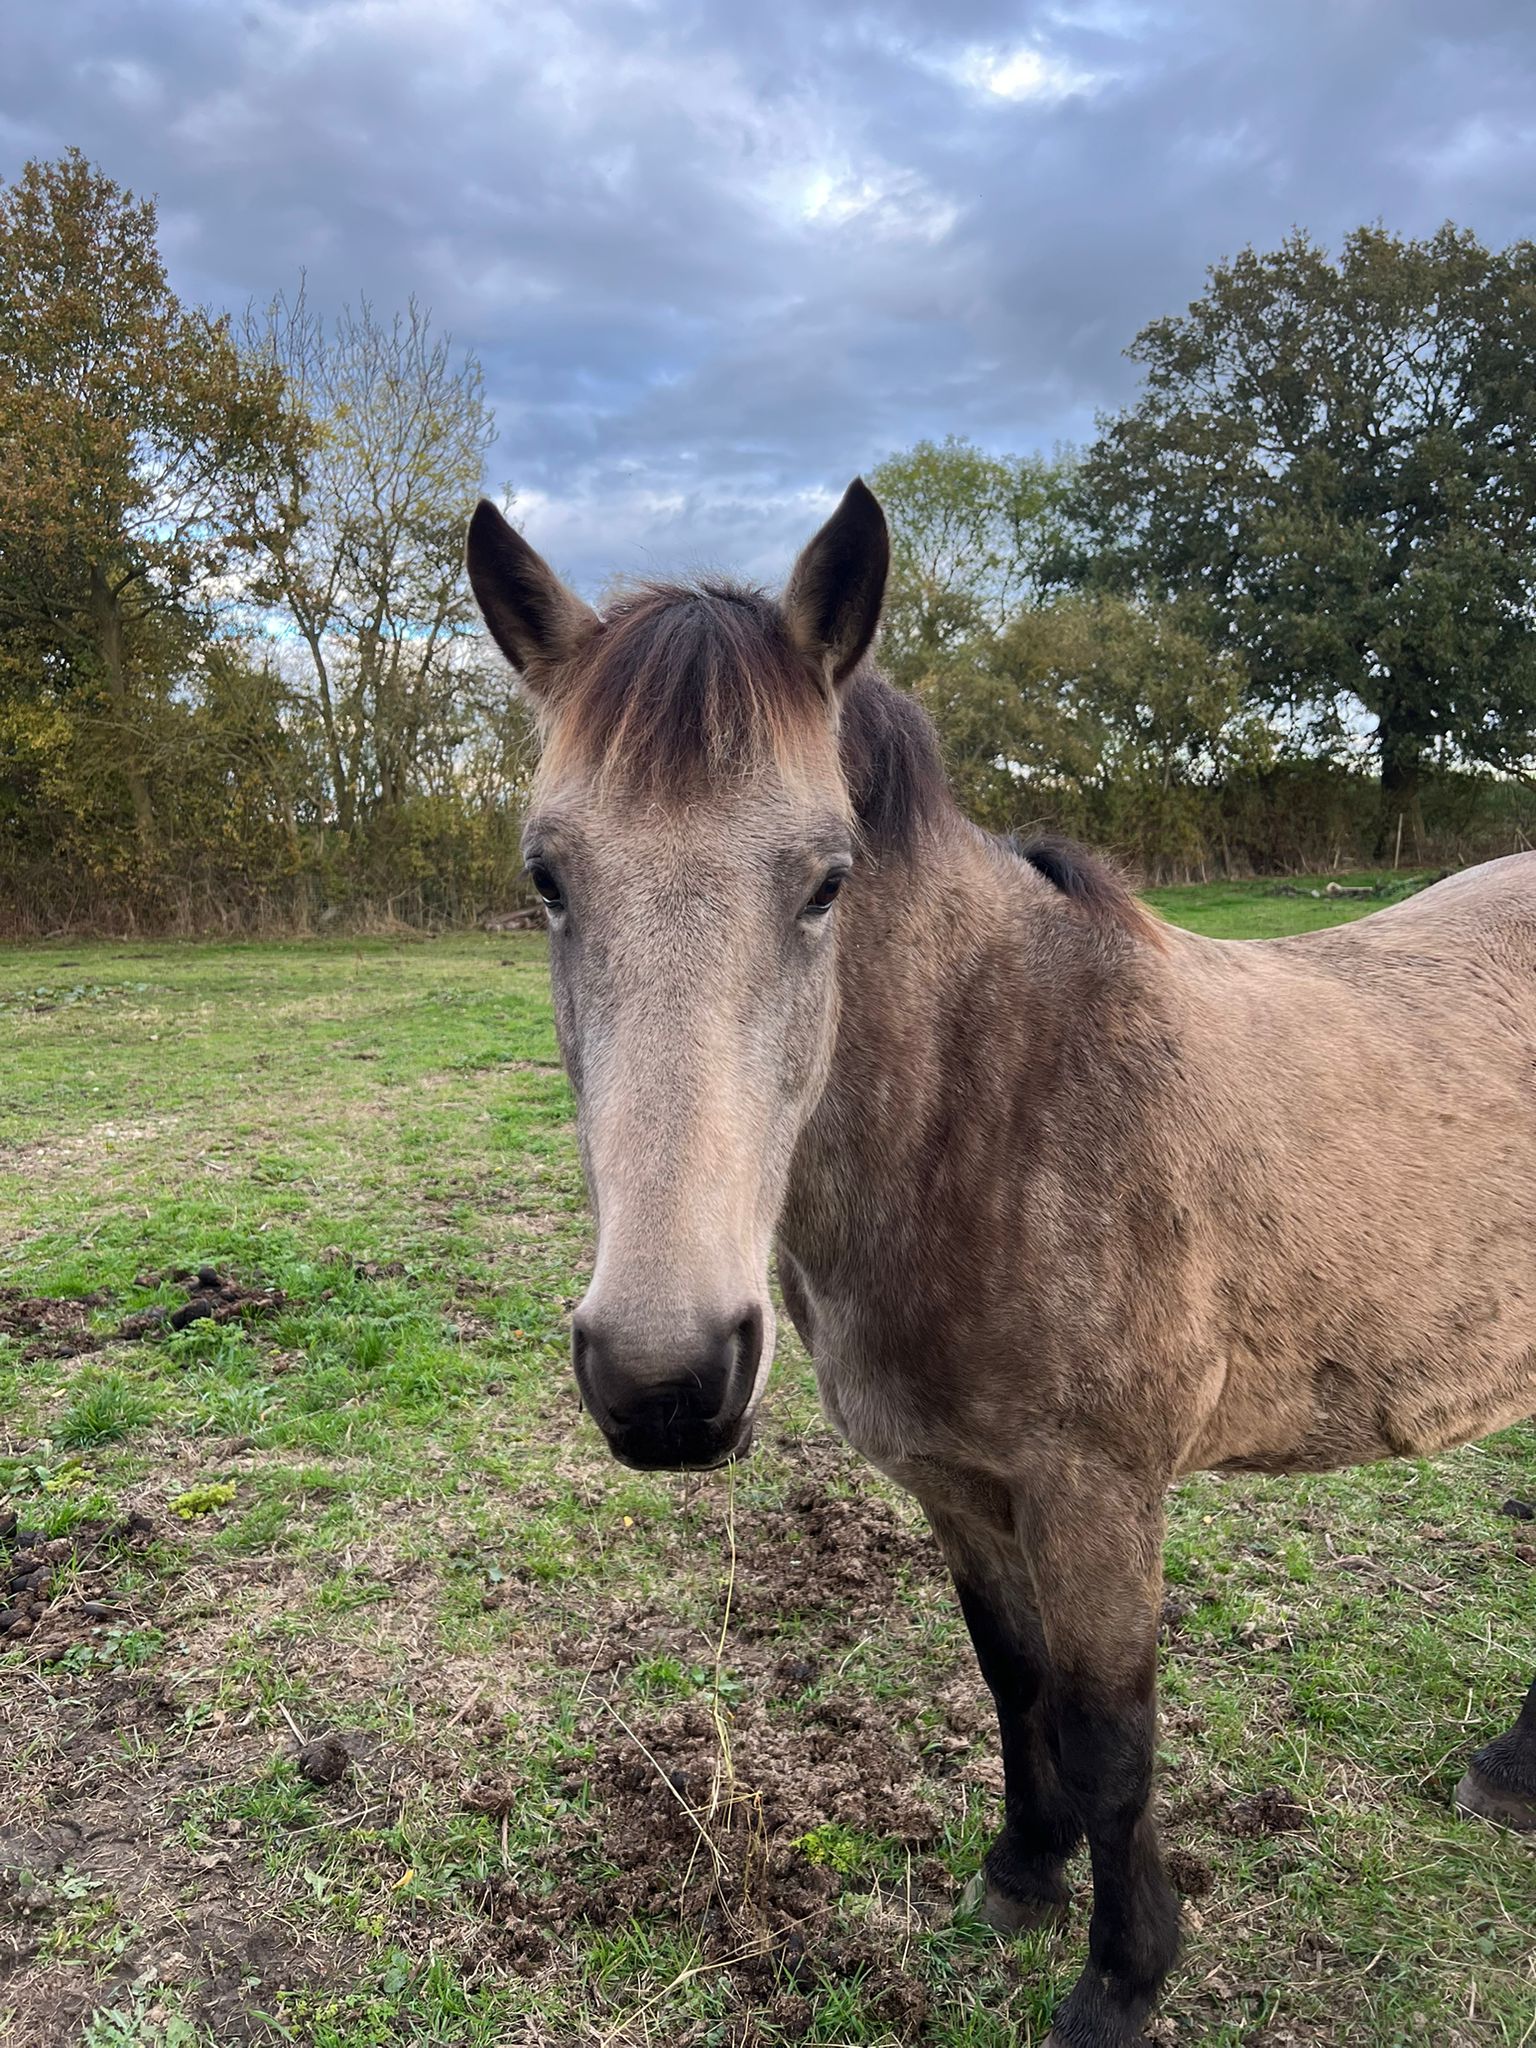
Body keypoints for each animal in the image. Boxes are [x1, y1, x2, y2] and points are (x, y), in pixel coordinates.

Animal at [468, 483, 1536, 2048]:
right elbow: (1010, 1677)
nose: (664, 1379)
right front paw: (1022, 1876)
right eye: (549, 878)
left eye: (826, 883)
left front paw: (1121, 1977)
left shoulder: (1097, 1492)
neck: (1000, 1109)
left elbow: (1107, 1731)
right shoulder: (956, 1483)